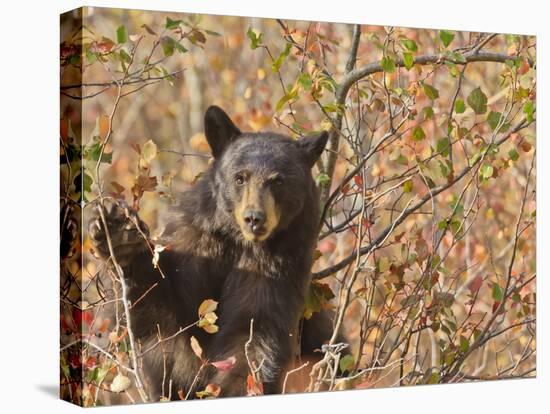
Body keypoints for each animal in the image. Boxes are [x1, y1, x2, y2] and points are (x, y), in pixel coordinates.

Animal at [89, 106, 334, 398]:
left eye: (278, 182)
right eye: (240, 177)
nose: (254, 218)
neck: (238, 241)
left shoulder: (280, 264)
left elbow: (254, 329)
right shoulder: (194, 245)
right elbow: (164, 318)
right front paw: (120, 235)